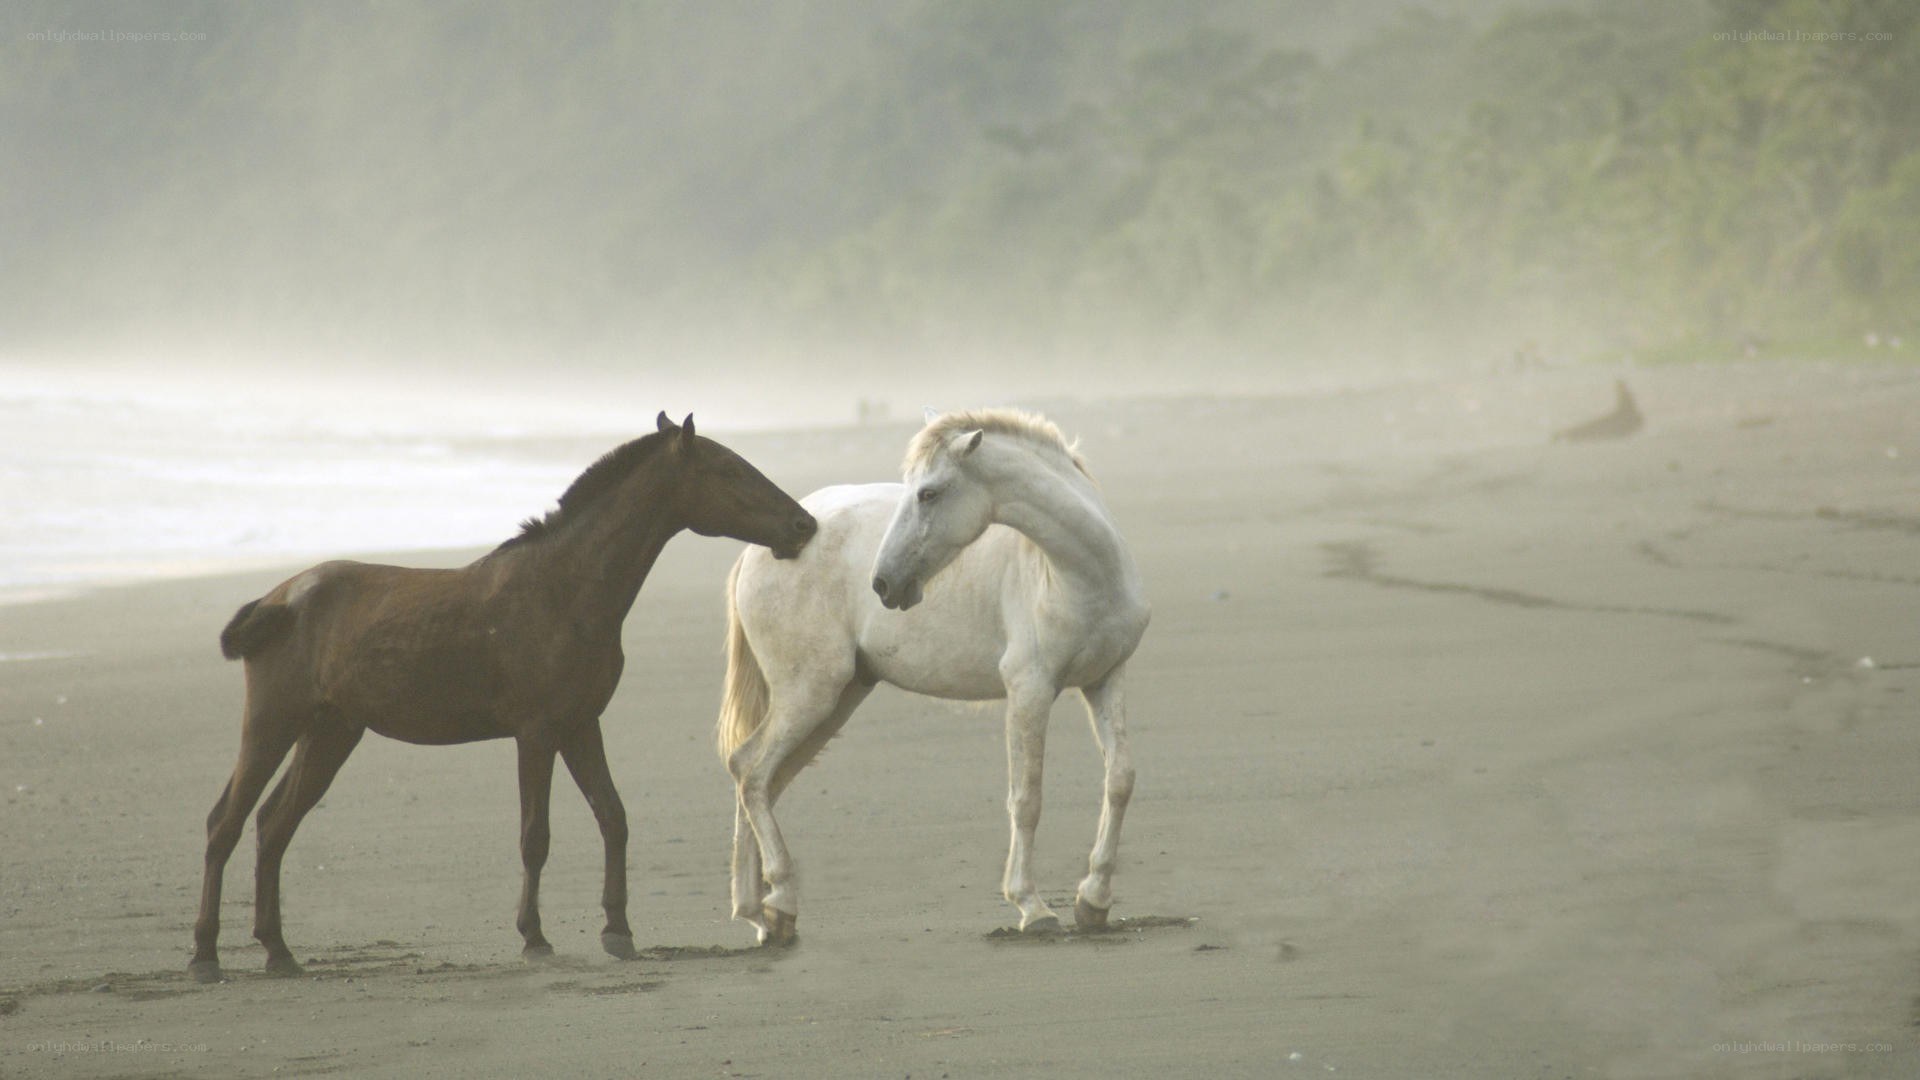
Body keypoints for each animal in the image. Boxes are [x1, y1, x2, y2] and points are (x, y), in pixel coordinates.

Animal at [189, 412, 816, 983]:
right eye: (727, 469)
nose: (803, 524)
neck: (564, 589)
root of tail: (278, 598)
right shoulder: (536, 731)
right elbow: (534, 836)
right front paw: (535, 938)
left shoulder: (581, 724)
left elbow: (613, 817)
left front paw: (618, 930)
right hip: (273, 722)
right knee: (226, 822)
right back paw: (205, 955)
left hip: (330, 732)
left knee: (273, 824)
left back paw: (278, 951)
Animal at [717, 408, 1149, 943]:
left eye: (928, 493)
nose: (883, 583)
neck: (1082, 575)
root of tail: (759, 550)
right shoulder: (1029, 689)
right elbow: (1026, 798)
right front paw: (1031, 907)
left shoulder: (1106, 679)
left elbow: (1120, 780)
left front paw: (1094, 899)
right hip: (810, 695)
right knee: (752, 773)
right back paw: (778, 903)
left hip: (835, 700)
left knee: (757, 777)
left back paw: (762, 913)